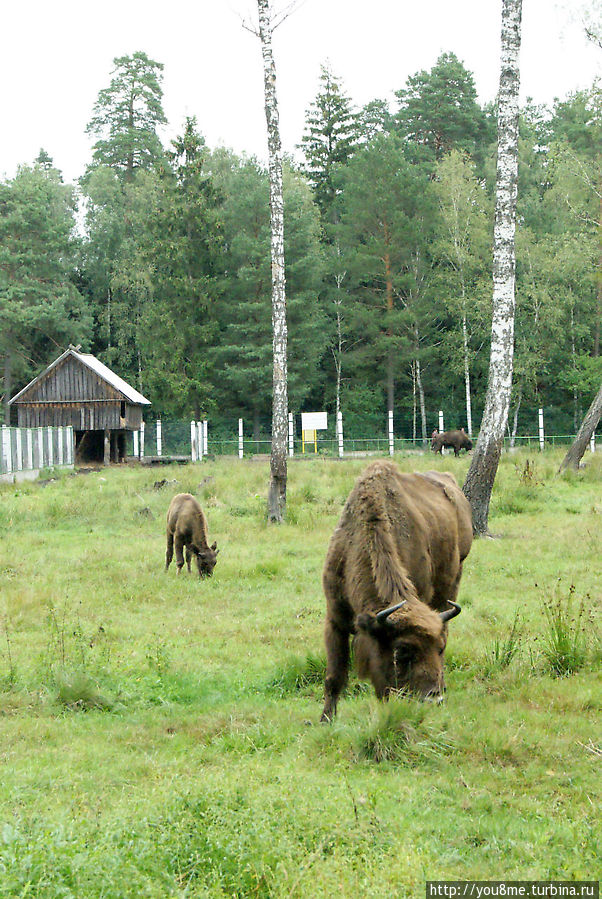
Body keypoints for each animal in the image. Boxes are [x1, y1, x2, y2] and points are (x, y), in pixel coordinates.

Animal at [322, 464, 472, 724]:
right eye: (402, 651)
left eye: (439, 648)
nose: (434, 698)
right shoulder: (335, 619)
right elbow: (335, 677)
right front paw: (325, 720)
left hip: (453, 580)